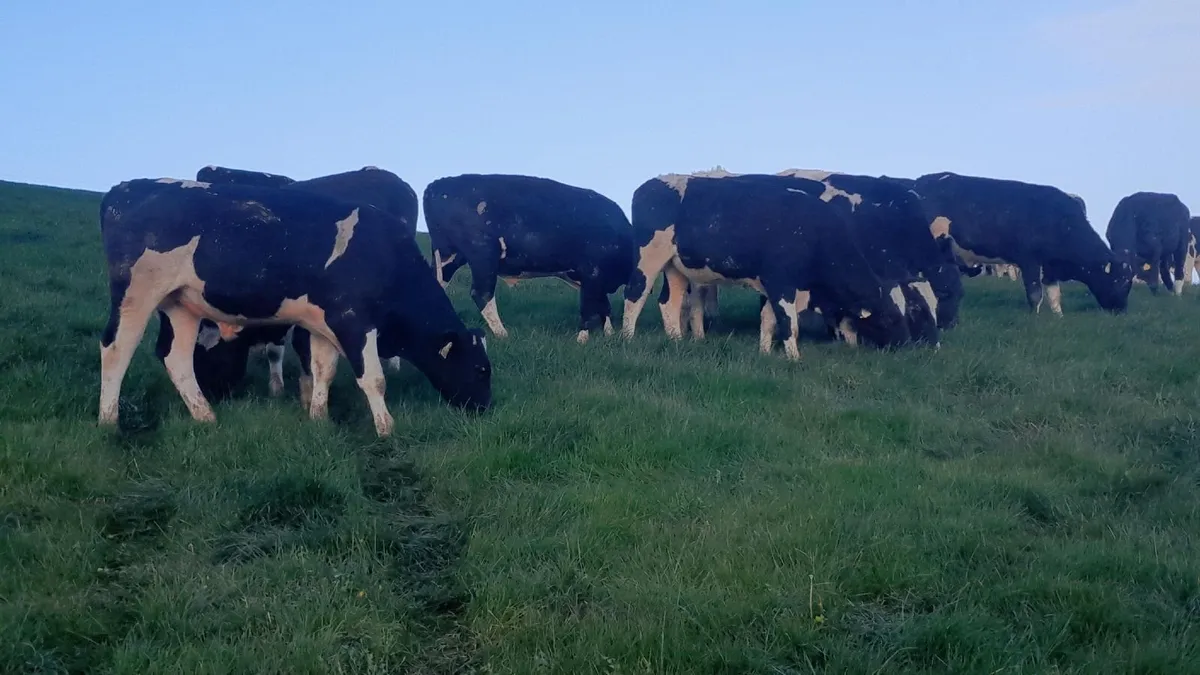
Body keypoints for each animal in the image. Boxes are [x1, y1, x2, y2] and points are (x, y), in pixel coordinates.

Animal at [97, 177, 491, 437]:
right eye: (481, 369)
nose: (484, 408)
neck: (385, 256)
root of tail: (125, 188)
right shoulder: (354, 322)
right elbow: (373, 379)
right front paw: (385, 428)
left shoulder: (325, 324)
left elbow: (323, 370)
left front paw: (319, 417)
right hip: (136, 294)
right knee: (116, 349)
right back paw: (108, 421)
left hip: (182, 305)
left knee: (175, 358)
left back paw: (205, 415)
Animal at [423, 173, 634, 344]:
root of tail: (438, 184)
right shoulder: (592, 273)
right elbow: (590, 307)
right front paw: (583, 339)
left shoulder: (596, 280)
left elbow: (604, 305)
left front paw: (608, 333)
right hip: (482, 256)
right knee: (481, 294)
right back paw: (502, 333)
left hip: (449, 257)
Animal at [620, 172, 912, 359]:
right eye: (890, 317)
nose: (907, 341)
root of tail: (653, 183)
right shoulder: (782, 282)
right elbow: (788, 323)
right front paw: (794, 357)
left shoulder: (779, 286)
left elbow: (769, 319)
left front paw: (765, 351)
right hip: (649, 258)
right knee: (635, 294)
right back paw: (627, 337)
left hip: (676, 267)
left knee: (669, 302)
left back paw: (677, 340)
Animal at [897, 172, 1132, 315]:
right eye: (1120, 282)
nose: (1121, 310)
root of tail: (917, 184)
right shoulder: (1029, 260)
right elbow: (1035, 293)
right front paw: (1034, 317)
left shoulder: (1050, 266)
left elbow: (1054, 294)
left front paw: (1059, 317)